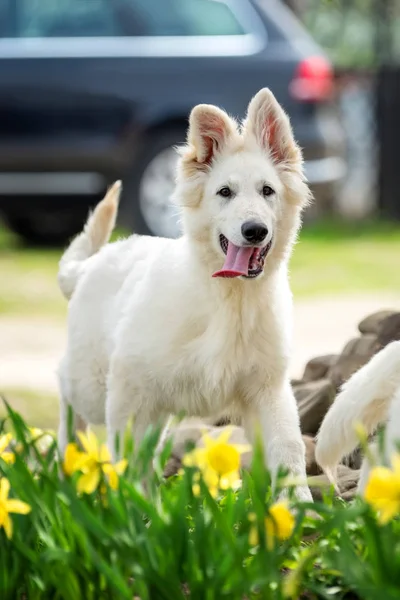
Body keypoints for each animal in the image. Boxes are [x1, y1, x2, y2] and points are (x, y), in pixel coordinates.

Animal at [56, 88, 312, 502]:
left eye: (267, 191)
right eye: (225, 192)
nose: (254, 230)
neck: (227, 299)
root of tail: (93, 263)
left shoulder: (267, 389)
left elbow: (289, 448)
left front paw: (299, 508)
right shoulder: (129, 385)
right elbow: (126, 455)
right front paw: (130, 505)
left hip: (155, 411)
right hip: (93, 386)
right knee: (64, 385)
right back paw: (67, 456)